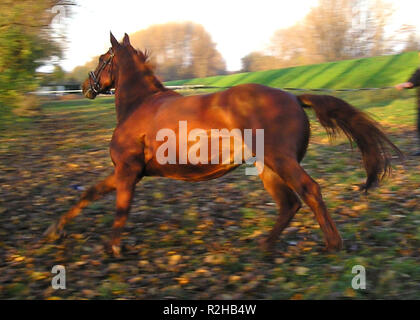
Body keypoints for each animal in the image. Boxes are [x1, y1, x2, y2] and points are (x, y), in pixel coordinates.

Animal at [44, 32, 402, 258]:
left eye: (102, 58)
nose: (84, 86)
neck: (140, 106)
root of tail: (293, 97)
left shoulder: (128, 171)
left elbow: (121, 209)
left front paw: (114, 247)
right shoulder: (123, 172)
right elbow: (89, 193)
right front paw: (56, 230)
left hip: (282, 162)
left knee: (310, 191)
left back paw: (332, 244)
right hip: (268, 169)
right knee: (289, 204)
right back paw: (265, 245)